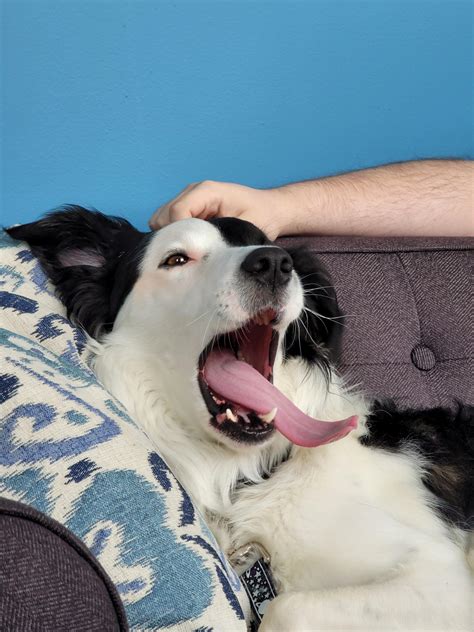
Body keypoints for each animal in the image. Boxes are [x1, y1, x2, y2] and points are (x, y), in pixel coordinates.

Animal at [8, 209, 474, 632]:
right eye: (176, 259)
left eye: (268, 245)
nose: (273, 263)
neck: (249, 473)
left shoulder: (441, 578)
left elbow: (289, 609)